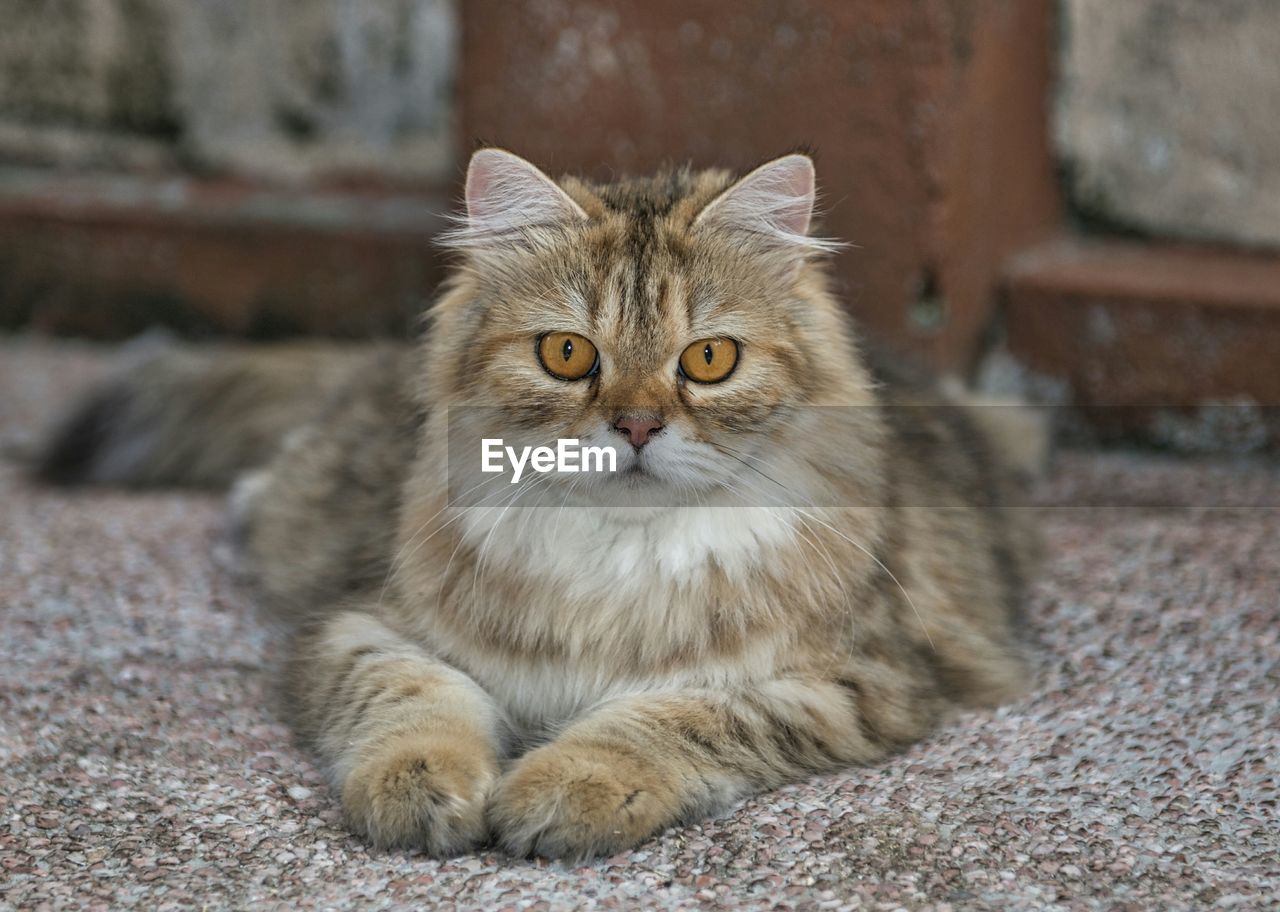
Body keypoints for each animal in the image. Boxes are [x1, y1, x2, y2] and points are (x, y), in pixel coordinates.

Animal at [37, 149, 1039, 860]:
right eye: (567, 354)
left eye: (709, 360)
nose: (636, 426)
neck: (618, 549)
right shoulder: (365, 623)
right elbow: (415, 701)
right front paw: (420, 789)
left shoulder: (859, 677)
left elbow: (670, 718)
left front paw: (568, 788)